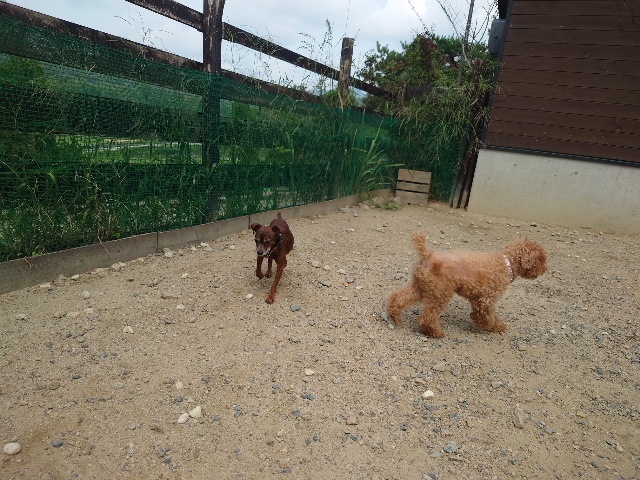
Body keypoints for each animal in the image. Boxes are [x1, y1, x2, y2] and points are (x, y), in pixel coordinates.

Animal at [387, 232, 547, 338]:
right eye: (541, 260)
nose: (545, 270)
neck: (507, 264)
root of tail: (428, 254)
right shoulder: (485, 300)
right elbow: (488, 317)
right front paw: (494, 326)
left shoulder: (478, 299)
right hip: (441, 293)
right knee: (427, 317)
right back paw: (434, 332)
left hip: (422, 287)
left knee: (399, 297)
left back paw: (394, 316)